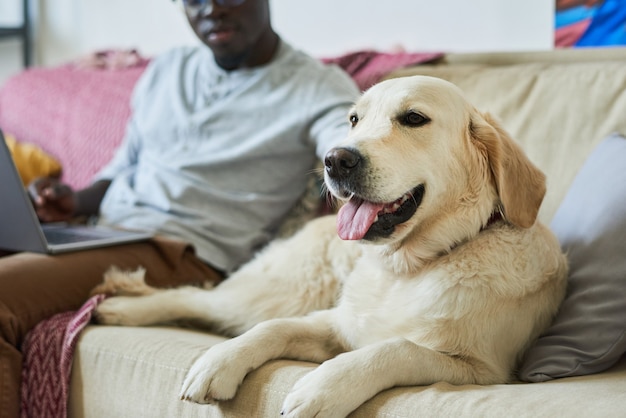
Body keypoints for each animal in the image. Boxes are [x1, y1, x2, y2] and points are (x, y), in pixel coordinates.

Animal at [92, 75, 564, 418]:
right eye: (354, 120)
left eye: (414, 118)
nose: (336, 159)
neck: (407, 268)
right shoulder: (335, 323)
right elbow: (274, 329)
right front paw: (219, 363)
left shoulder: (482, 369)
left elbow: (396, 348)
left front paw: (321, 388)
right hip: (280, 290)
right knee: (199, 297)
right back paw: (122, 308)